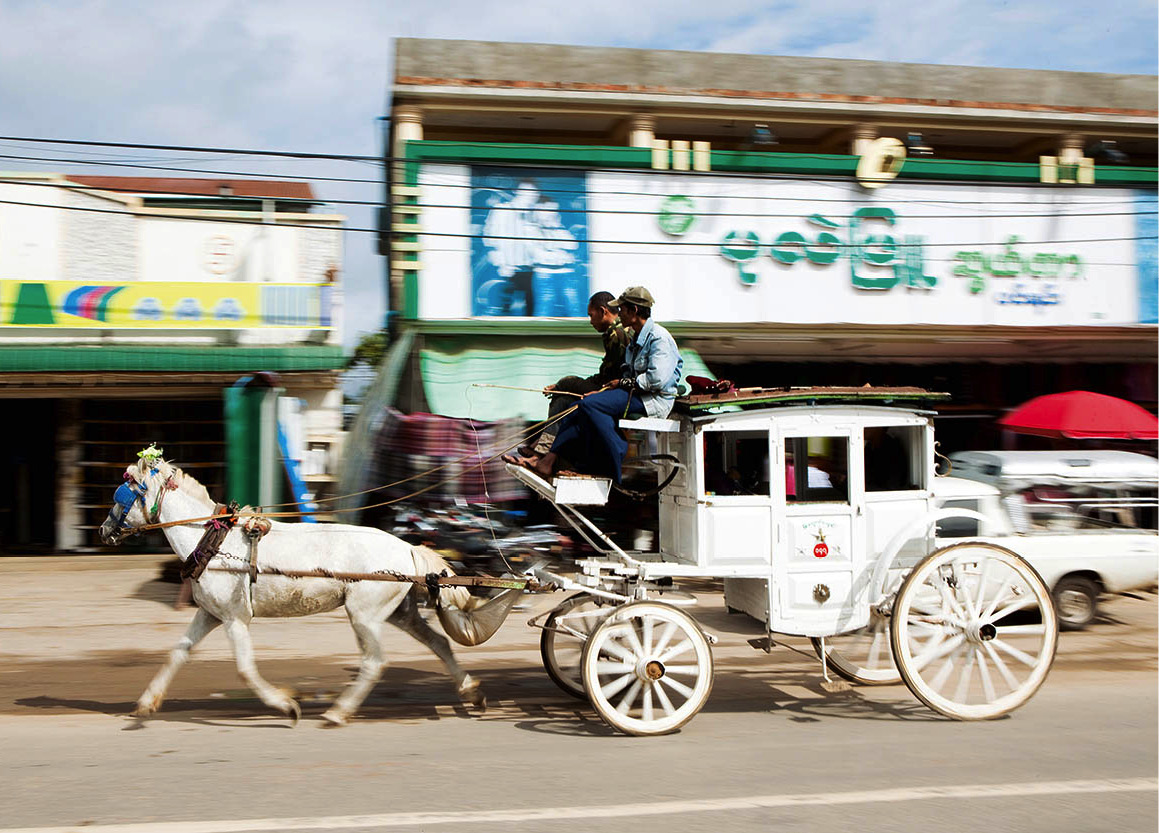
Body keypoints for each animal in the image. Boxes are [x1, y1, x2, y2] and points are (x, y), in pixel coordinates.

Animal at [100, 451, 498, 727]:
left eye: (121, 494)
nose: (104, 531)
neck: (211, 538)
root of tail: (406, 546)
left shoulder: (235, 618)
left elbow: (245, 669)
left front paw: (285, 705)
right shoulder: (211, 614)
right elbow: (177, 653)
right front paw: (146, 703)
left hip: (364, 614)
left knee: (374, 661)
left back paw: (339, 711)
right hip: (399, 612)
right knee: (438, 643)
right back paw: (472, 692)